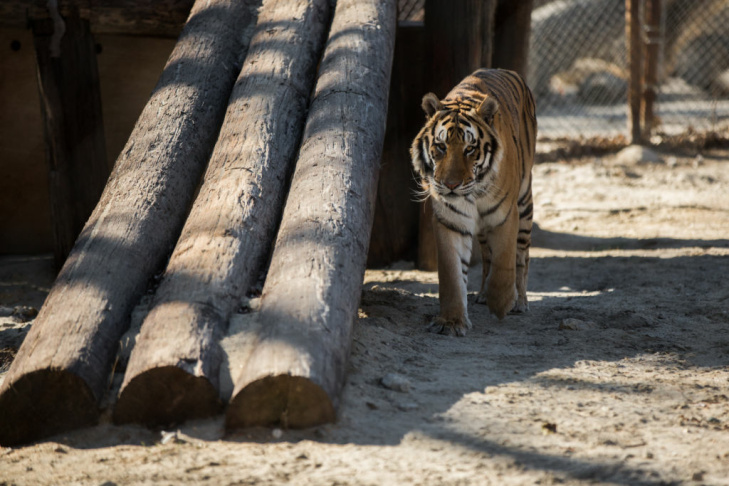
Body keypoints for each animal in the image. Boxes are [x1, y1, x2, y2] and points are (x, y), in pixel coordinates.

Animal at [410, 68, 537, 337]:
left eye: (469, 149)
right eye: (440, 146)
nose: (450, 185)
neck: (473, 193)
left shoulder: (505, 215)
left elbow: (505, 261)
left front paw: (502, 302)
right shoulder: (451, 220)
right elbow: (452, 274)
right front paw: (451, 321)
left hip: (524, 201)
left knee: (521, 255)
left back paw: (519, 300)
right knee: (488, 256)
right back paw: (483, 295)